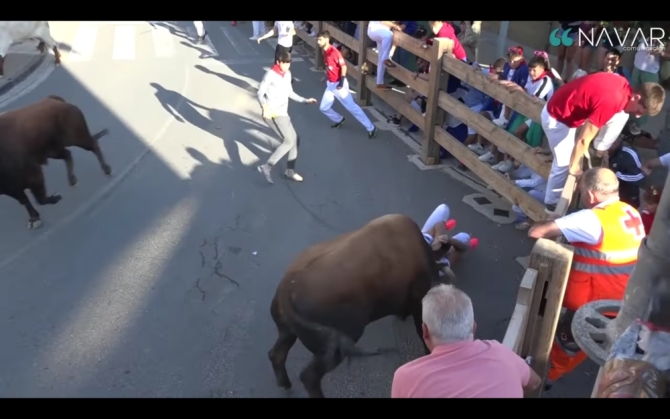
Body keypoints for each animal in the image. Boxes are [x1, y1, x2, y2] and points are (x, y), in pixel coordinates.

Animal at [0, 96, 111, 230]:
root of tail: (52, 99)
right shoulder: (10, 189)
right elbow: (24, 201)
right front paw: (34, 218)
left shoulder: (34, 175)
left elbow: (40, 199)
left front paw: (56, 197)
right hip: (53, 151)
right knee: (68, 154)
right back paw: (72, 180)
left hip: (76, 137)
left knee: (93, 145)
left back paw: (106, 169)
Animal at [268, 215, 456, 398]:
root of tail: (287, 287)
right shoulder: (419, 301)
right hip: (339, 344)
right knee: (309, 377)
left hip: (287, 332)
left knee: (277, 354)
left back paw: (284, 384)